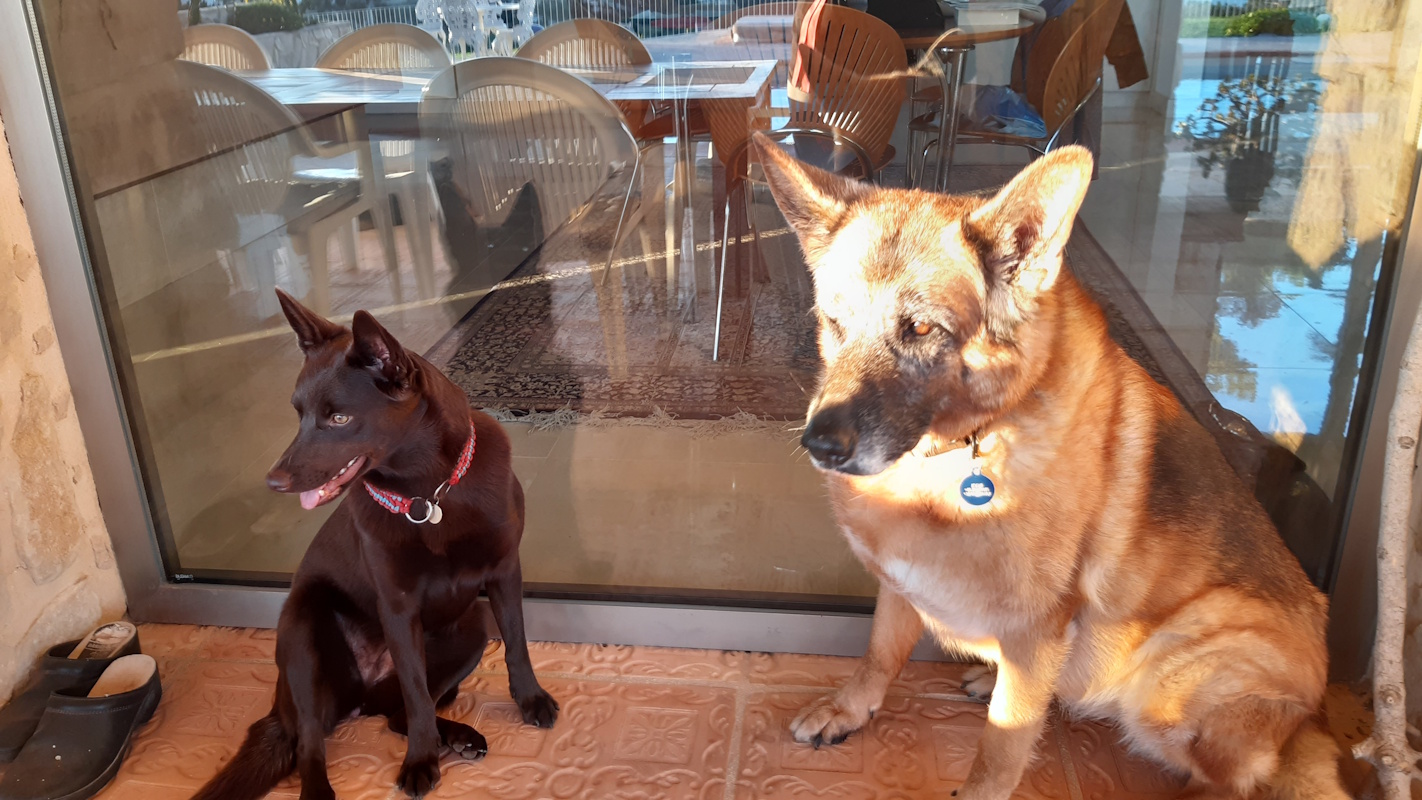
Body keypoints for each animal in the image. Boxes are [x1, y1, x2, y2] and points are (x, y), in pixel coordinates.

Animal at [190, 291, 558, 800]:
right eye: (299, 414)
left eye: (339, 418)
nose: (273, 482)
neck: (428, 494)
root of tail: (360, 696)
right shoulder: (398, 608)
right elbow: (419, 700)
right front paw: (421, 762)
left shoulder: (504, 572)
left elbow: (518, 643)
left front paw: (530, 700)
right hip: (301, 630)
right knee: (313, 743)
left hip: (472, 628)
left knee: (396, 715)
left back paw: (459, 736)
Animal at [752, 133, 1348, 800]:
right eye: (835, 321)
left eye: (922, 328)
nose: (820, 445)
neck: (966, 446)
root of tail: (1311, 718)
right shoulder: (900, 585)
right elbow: (879, 655)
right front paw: (850, 709)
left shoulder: (1037, 629)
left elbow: (1001, 747)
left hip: (1171, 673)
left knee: (1228, 781)